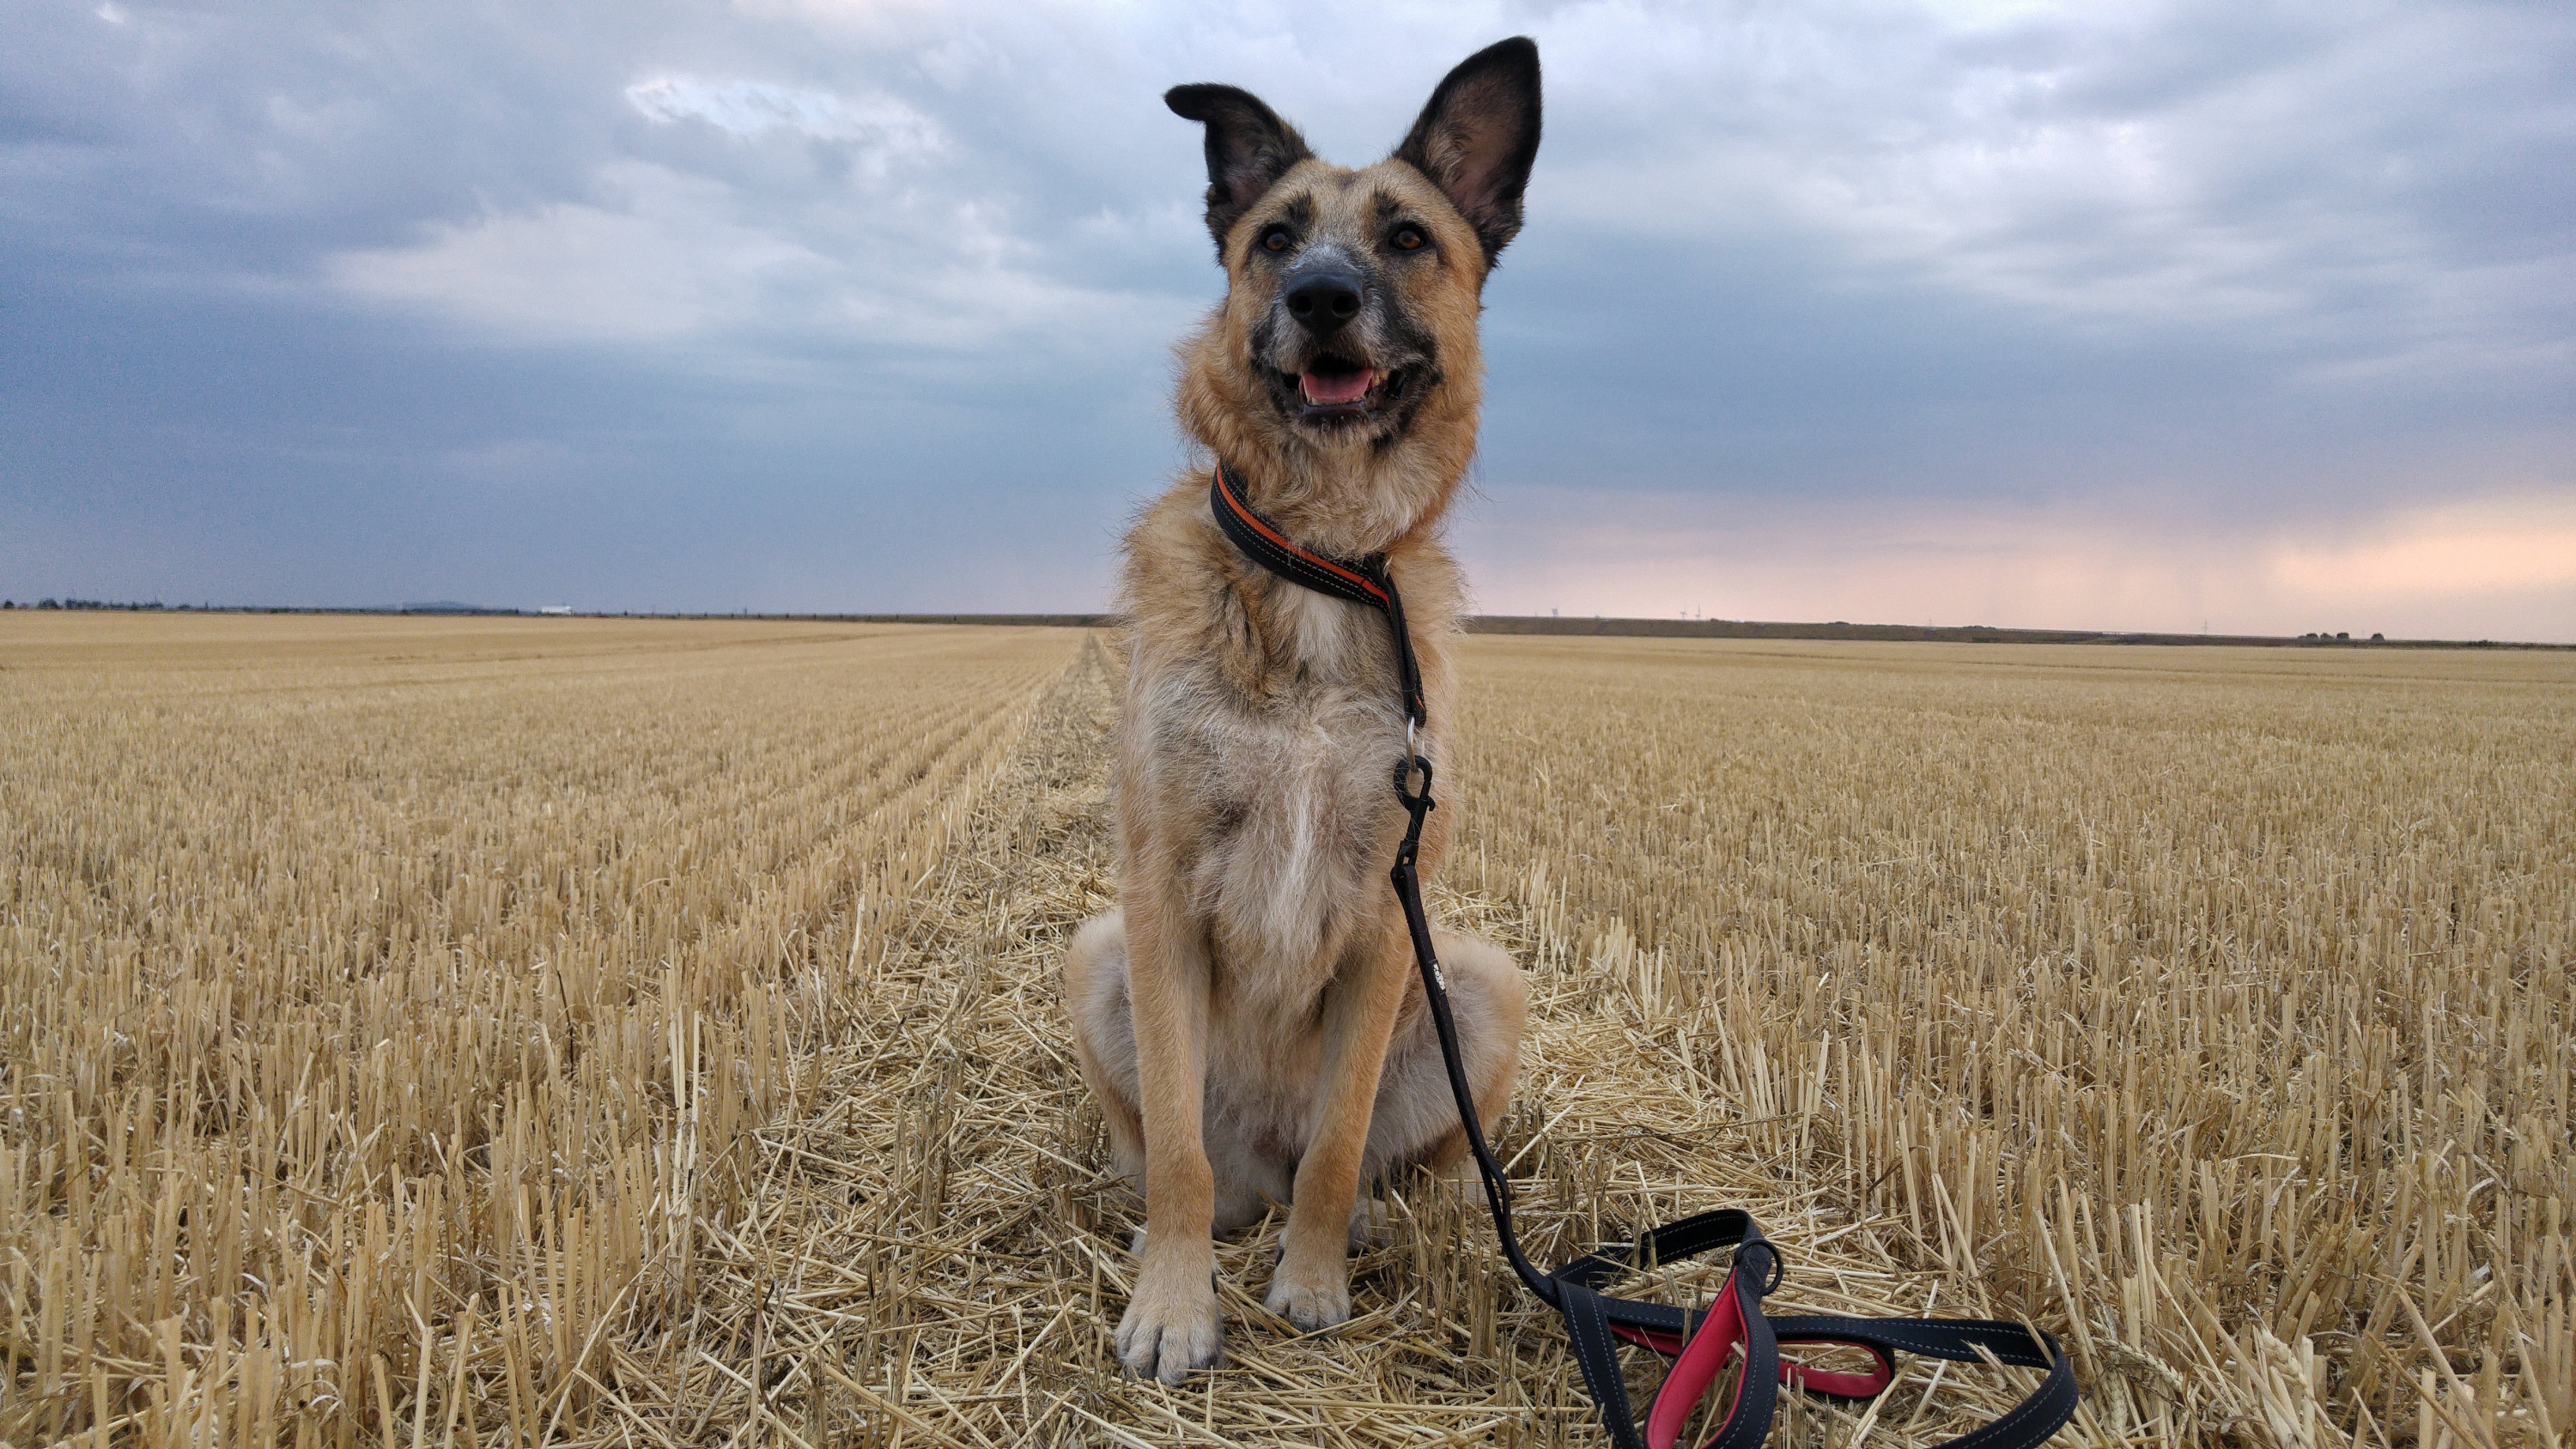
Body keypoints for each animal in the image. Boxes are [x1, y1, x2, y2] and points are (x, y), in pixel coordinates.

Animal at [1056, 39, 1535, 1390]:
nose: (1322, 297)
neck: (1318, 556)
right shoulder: (1158, 899)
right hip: (1098, 956)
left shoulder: (1386, 916)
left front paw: (1313, 1282)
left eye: (1409, 238)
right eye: (1275, 238)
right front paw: (1175, 1306)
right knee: (1180, 1158)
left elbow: (1338, 1139)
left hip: (1477, 983)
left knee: (1369, 1157)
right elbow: (1175, 1150)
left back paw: (1390, 1219)